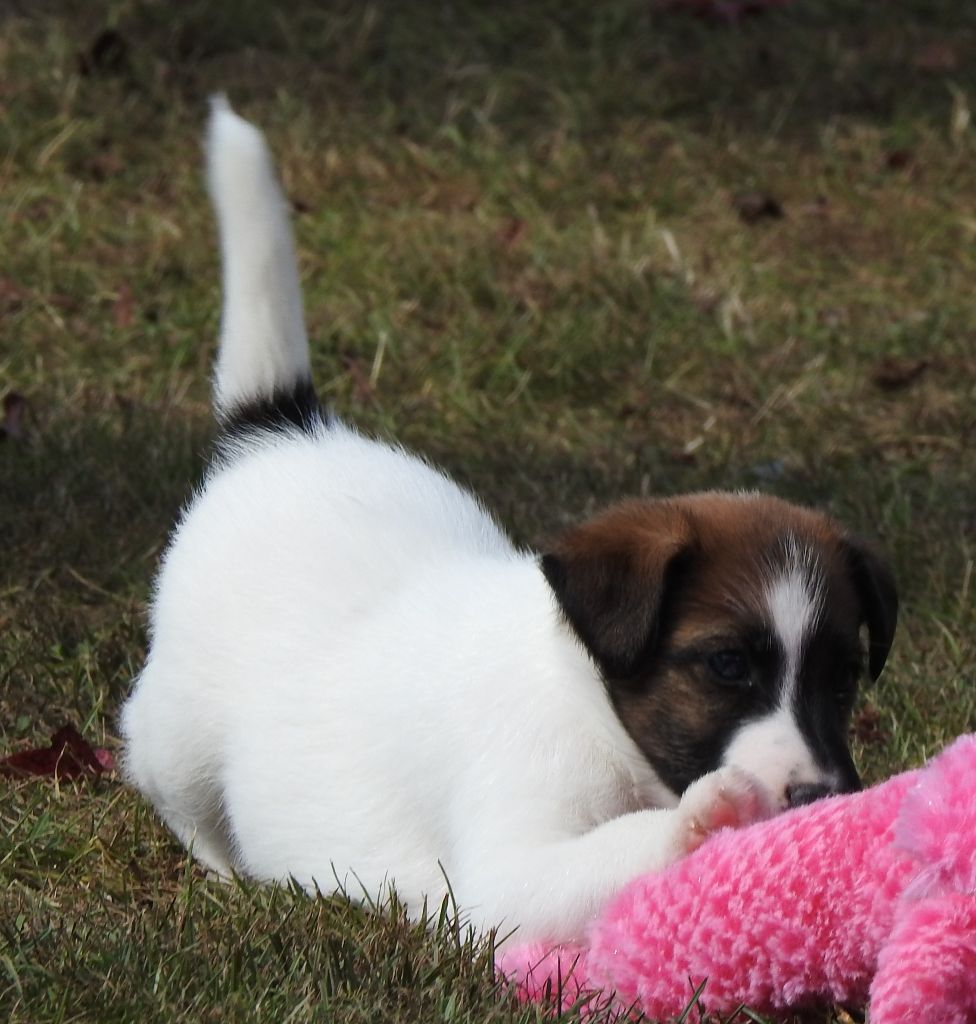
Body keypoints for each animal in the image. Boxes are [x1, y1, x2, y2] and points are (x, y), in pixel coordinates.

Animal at [120, 99, 898, 944]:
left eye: (844, 677)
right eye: (727, 665)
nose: (822, 797)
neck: (589, 709)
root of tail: (279, 432)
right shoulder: (503, 877)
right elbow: (602, 852)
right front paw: (700, 819)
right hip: (177, 734)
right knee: (172, 787)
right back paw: (231, 874)